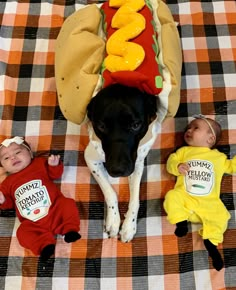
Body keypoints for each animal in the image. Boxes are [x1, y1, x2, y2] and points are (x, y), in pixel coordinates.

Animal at [84, 84, 161, 242]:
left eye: (136, 125)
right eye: (101, 126)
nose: (118, 170)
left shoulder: (137, 163)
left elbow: (135, 198)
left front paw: (129, 226)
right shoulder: (90, 158)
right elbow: (109, 191)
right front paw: (113, 220)